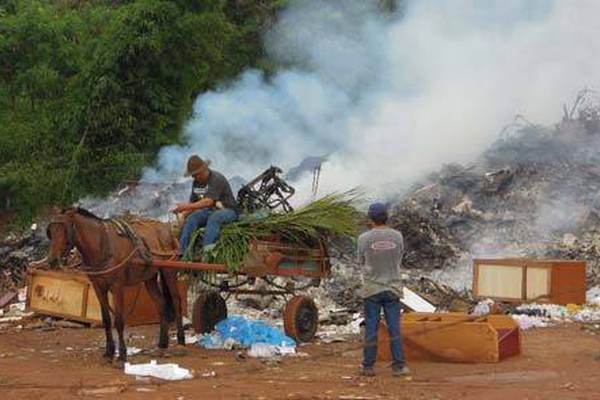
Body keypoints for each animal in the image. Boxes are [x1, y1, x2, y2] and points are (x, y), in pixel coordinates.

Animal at [46, 208, 184, 364]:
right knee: (161, 303)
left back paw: (180, 340)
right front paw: (109, 351)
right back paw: (162, 343)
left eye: (65, 230)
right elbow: (106, 320)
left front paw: (122, 354)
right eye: (50, 231)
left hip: (168, 271)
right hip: (150, 278)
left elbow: (118, 321)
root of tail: (167, 228)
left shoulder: (117, 287)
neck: (102, 245)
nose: (52, 260)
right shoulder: (98, 287)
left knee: (176, 301)